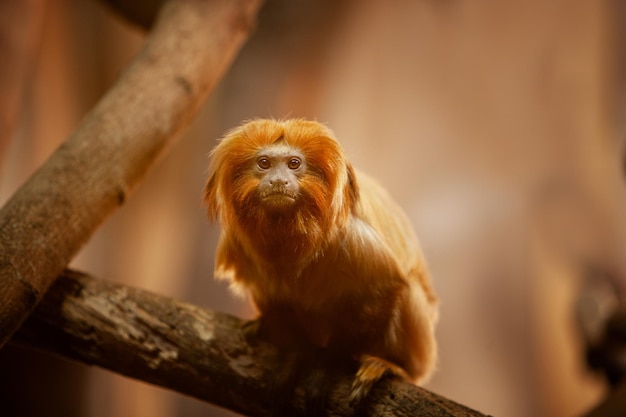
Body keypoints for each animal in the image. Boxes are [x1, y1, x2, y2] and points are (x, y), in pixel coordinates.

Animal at [202, 118, 436, 410]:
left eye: (294, 164)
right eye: (264, 163)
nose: (278, 180)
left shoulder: (350, 234)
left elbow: (385, 285)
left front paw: (329, 365)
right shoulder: (240, 242)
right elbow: (275, 298)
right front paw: (295, 355)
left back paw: (389, 365)